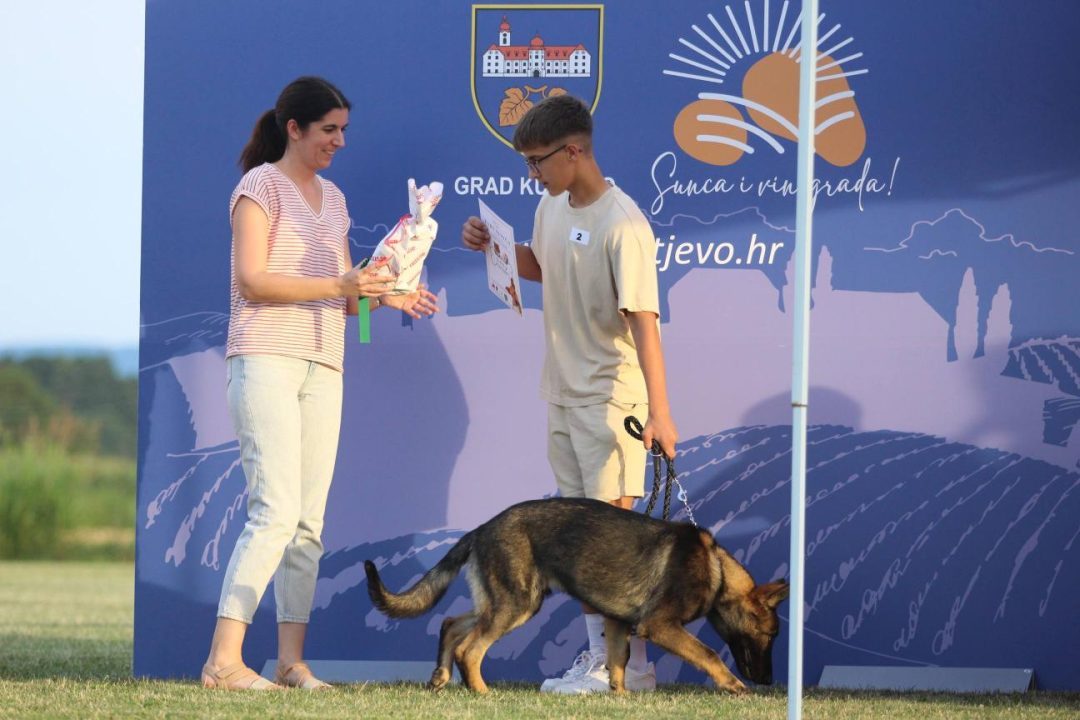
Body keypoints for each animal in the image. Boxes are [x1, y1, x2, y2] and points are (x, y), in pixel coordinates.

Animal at [365, 497, 788, 694]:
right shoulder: (660, 625)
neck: (717, 570)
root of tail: (482, 528)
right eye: (769, 636)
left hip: (509, 602)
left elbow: (618, 663)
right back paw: (481, 692)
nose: (768, 681)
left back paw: (441, 678)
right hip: (516, 605)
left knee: (452, 624)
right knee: (470, 649)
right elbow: (709, 653)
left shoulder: (617, 623)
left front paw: (620, 698)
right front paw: (732, 685)